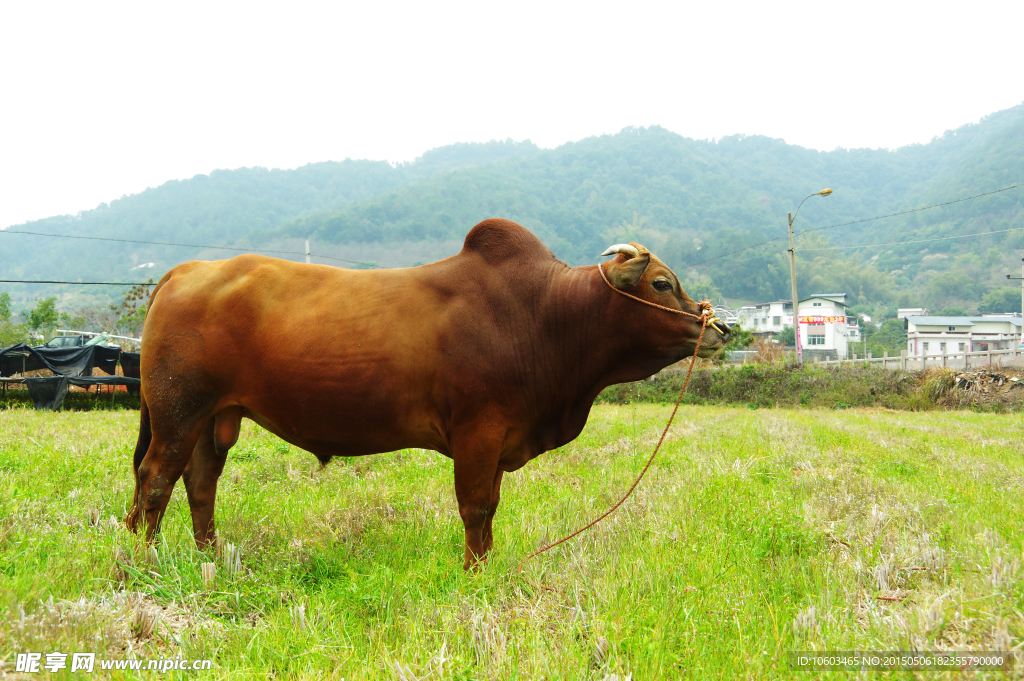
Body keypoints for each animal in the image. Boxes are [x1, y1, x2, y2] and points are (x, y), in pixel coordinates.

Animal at [123, 216, 724, 561]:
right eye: (662, 283)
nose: (720, 329)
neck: (544, 313)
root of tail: (186, 270)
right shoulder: (479, 432)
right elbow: (476, 508)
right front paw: (475, 573)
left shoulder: (497, 441)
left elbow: (490, 509)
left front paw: (487, 565)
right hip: (178, 411)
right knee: (154, 481)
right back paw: (144, 563)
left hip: (212, 418)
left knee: (199, 484)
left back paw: (210, 557)